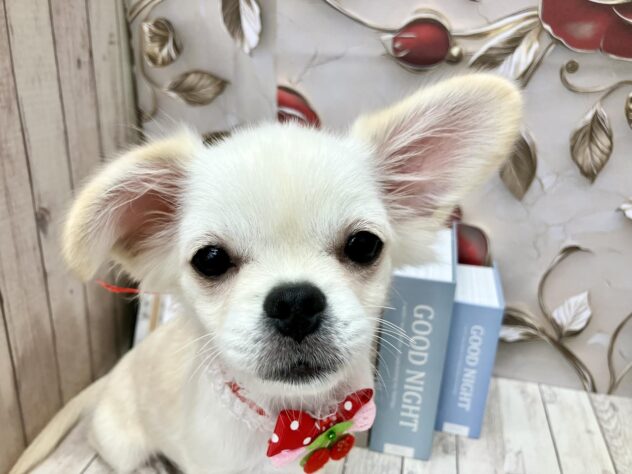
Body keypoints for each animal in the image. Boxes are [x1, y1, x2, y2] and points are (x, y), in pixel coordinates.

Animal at [11, 74, 521, 474]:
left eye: (364, 245)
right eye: (211, 260)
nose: (295, 302)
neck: (288, 420)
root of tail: (113, 374)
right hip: (121, 446)